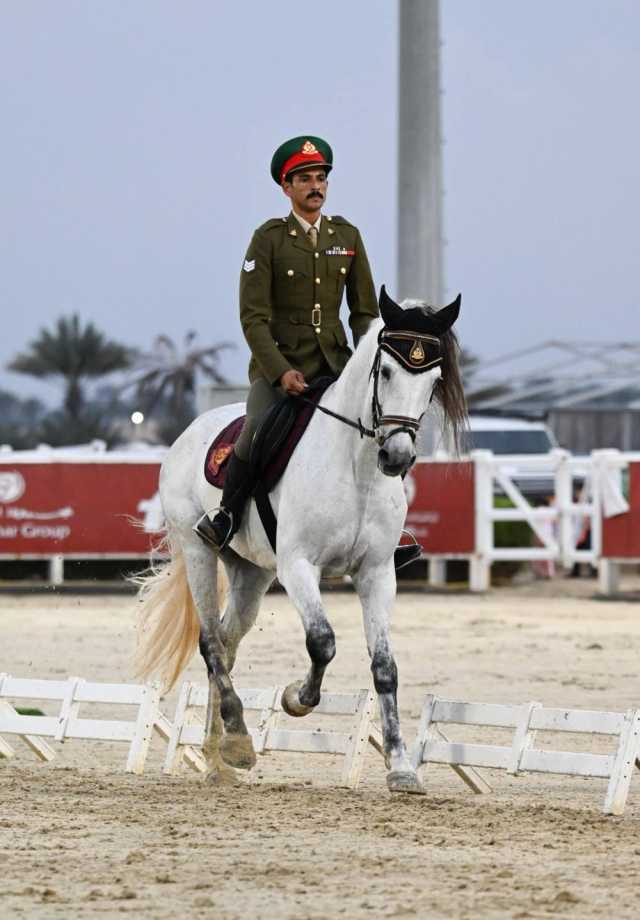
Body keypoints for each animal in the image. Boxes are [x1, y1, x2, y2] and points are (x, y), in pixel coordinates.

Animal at [136, 288, 464, 792]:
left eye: (434, 379)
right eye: (386, 372)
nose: (397, 456)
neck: (356, 467)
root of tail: (190, 432)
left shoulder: (377, 574)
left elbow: (384, 667)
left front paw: (401, 768)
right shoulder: (298, 567)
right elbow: (322, 641)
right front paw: (296, 697)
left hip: (251, 571)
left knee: (227, 644)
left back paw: (219, 754)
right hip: (199, 551)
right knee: (210, 642)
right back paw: (238, 741)